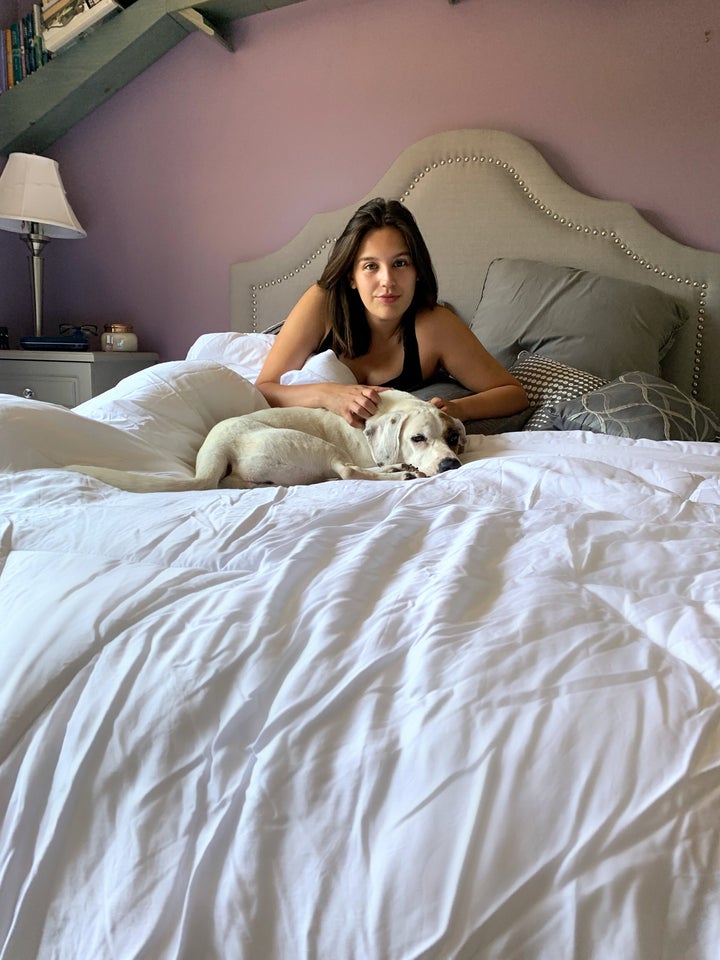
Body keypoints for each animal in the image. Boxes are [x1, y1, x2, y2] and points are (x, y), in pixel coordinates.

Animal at [71, 390, 466, 492]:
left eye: (452, 436)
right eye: (417, 438)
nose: (452, 465)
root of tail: (217, 450)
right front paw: (399, 464)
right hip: (314, 444)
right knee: (349, 472)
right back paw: (400, 471)